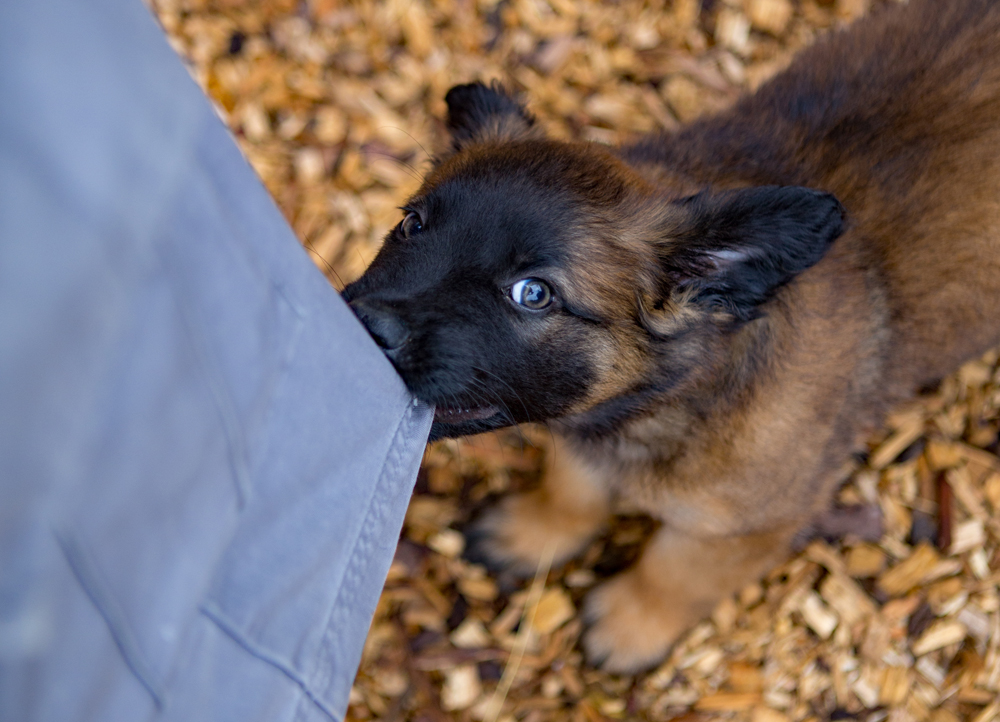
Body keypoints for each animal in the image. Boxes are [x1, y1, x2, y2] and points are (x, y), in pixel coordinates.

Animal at [342, 0, 1000, 672]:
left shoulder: (746, 524)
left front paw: (631, 624)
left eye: (533, 293)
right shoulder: (586, 437)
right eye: (412, 225)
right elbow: (571, 490)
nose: (366, 326)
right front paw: (533, 531)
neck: (671, 405)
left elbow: (675, 570)